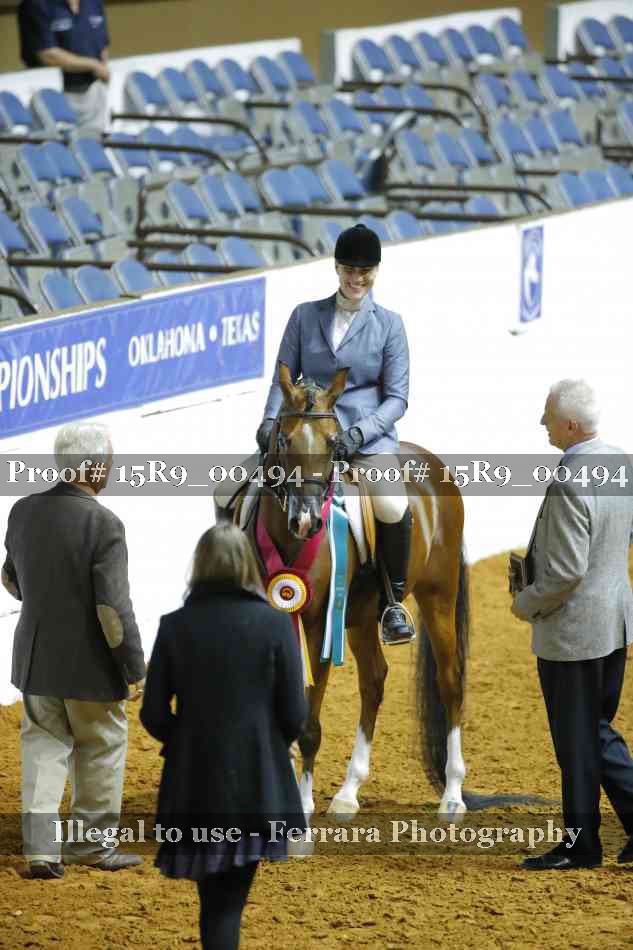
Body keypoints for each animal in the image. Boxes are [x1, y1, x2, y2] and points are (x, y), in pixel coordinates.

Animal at [250, 364, 469, 820]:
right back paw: (349, 791)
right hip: (362, 616)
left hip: (438, 595)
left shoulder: (319, 625)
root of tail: (434, 465)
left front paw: (301, 804)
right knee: (374, 680)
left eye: (334, 443)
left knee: (450, 681)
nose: (306, 521)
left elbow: (309, 722)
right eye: (284, 439)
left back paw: (453, 794)